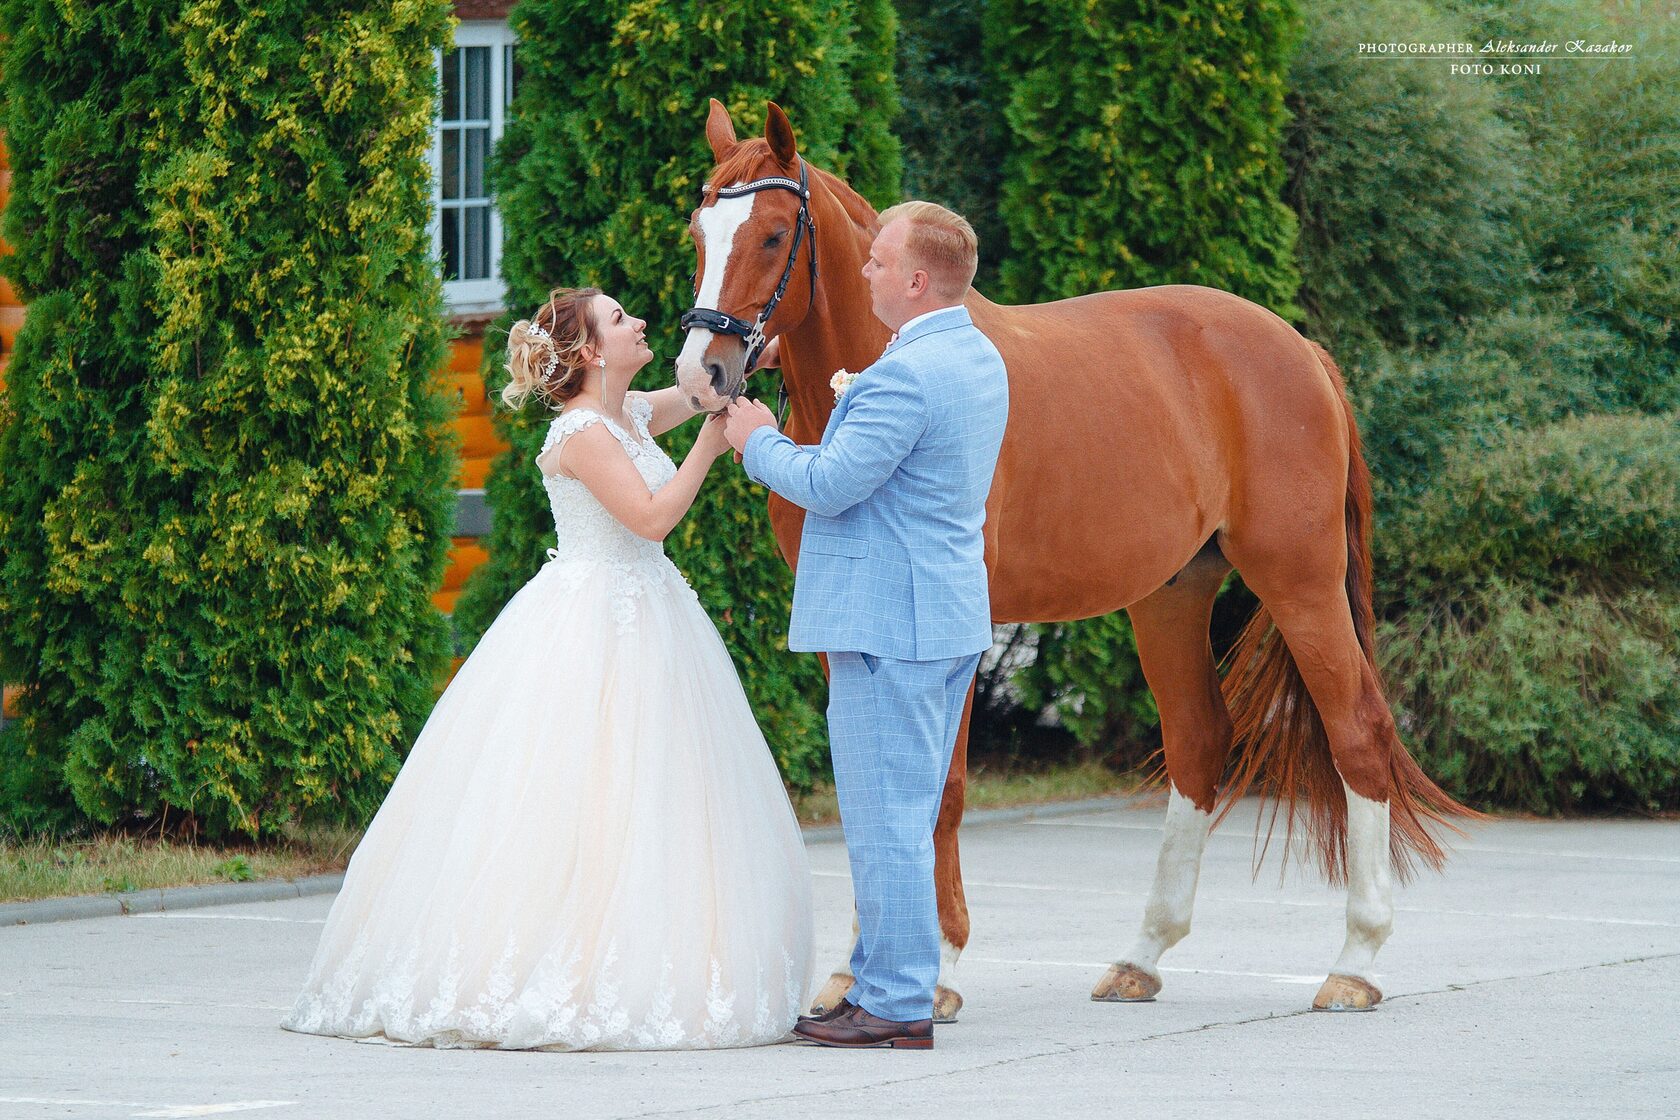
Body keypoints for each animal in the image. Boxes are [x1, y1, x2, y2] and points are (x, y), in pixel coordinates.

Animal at [672, 100, 1471, 1020]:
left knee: (1359, 730)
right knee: (1198, 744)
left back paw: (1357, 960)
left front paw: (937, 971)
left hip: (1299, 579)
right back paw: (1143, 955)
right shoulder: (848, 623)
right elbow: (873, 777)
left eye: (772, 235)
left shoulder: (955, 625)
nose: (703, 373)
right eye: (698, 232)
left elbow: (938, 785)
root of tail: (1301, 351)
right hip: (1172, 593)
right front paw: (855, 972)